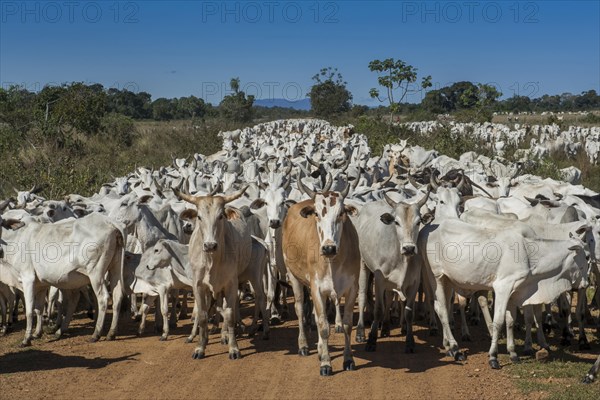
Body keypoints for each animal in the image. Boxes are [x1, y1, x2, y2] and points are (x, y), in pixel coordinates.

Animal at [282, 177, 360, 376]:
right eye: (317, 213)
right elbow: (324, 326)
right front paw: (325, 363)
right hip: (294, 277)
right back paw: (304, 346)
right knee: (301, 309)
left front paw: (348, 359)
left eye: (341, 213)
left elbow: (347, 325)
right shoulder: (316, 288)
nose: (328, 248)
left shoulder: (352, 288)